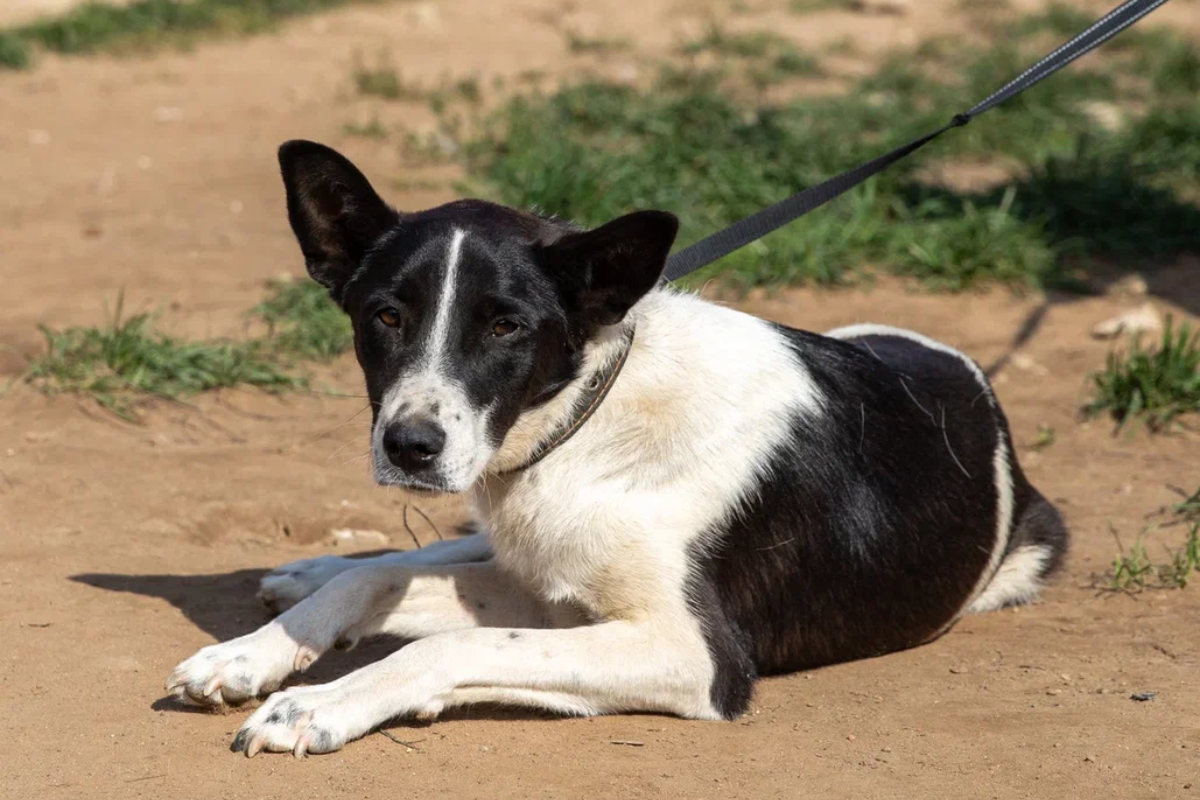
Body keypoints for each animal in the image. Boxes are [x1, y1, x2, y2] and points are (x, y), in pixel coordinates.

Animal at [162, 140, 1070, 762]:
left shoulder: (692, 653)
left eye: (505, 326)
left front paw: (316, 705)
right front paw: (250, 655)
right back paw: (303, 574)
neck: (585, 429)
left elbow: (450, 642)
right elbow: (381, 577)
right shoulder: (557, 589)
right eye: (386, 316)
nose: (410, 448)